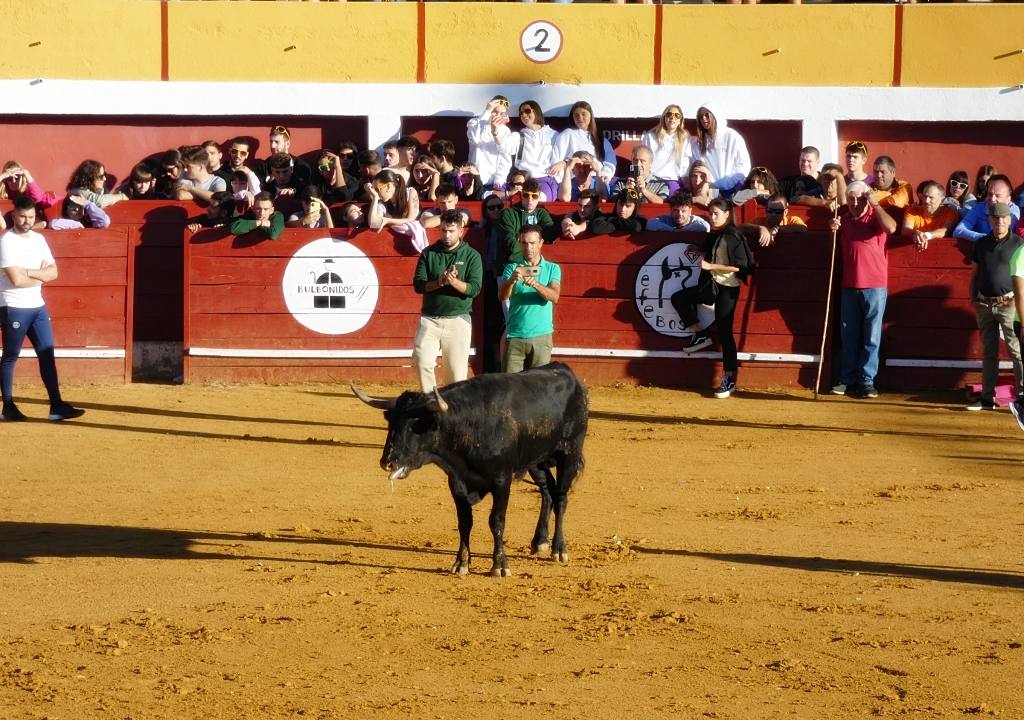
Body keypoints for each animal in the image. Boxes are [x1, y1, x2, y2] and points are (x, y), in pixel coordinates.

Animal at [356, 362, 589, 577]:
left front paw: (500, 565)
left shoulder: (502, 480)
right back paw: (540, 541)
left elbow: (496, 520)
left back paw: (559, 549)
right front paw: (461, 563)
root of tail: (567, 372)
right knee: (547, 490)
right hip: (535, 460)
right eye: (391, 423)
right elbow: (465, 522)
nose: (387, 461)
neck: (471, 425)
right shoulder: (456, 482)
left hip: (570, 452)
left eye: (415, 426)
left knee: (561, 498)